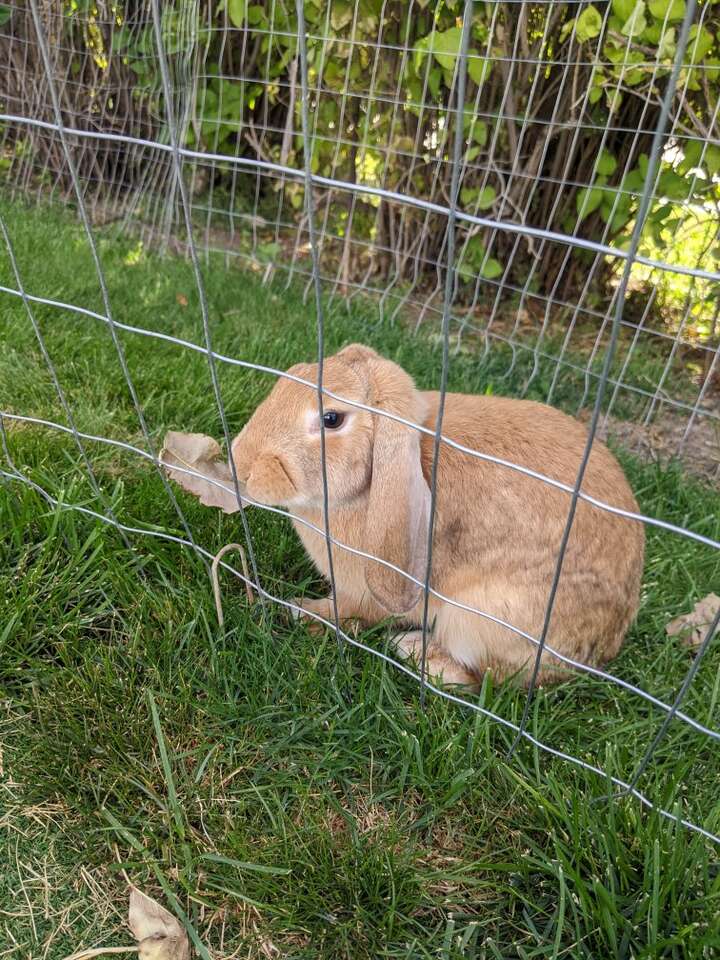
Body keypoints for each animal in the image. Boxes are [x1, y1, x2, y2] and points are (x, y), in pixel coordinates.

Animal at [231, 343, 645, 688]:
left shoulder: (365, 592)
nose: (241, 462)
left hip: (480, 617)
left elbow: (347, 612)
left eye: (331, 419)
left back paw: (416, 652)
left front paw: (303, 612)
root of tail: (603, 648)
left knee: (491, 678)